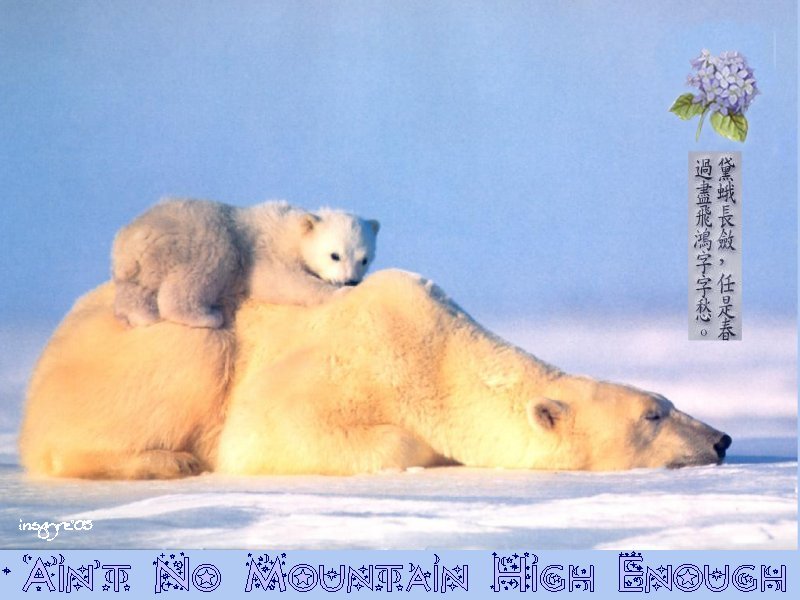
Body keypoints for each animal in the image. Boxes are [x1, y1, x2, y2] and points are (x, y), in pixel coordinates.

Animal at [18, 270, 731, 479]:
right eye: (653, 414)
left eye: (667, 400)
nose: (722, 438)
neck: (437, 351)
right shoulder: (343, 362)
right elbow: (268, 430)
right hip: (148, 348)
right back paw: (167, 460)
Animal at [111, 198, 380, 328]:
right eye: (335, 255)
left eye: (364, 259)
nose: (351, 281)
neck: (290, 229)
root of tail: (129, 239)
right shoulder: (265, 251)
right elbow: (281, 282)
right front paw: (337, 293)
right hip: (200, 236)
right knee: (206, 266)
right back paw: (206, 317)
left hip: (141, 266)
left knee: (134, 290)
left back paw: (141, 316)